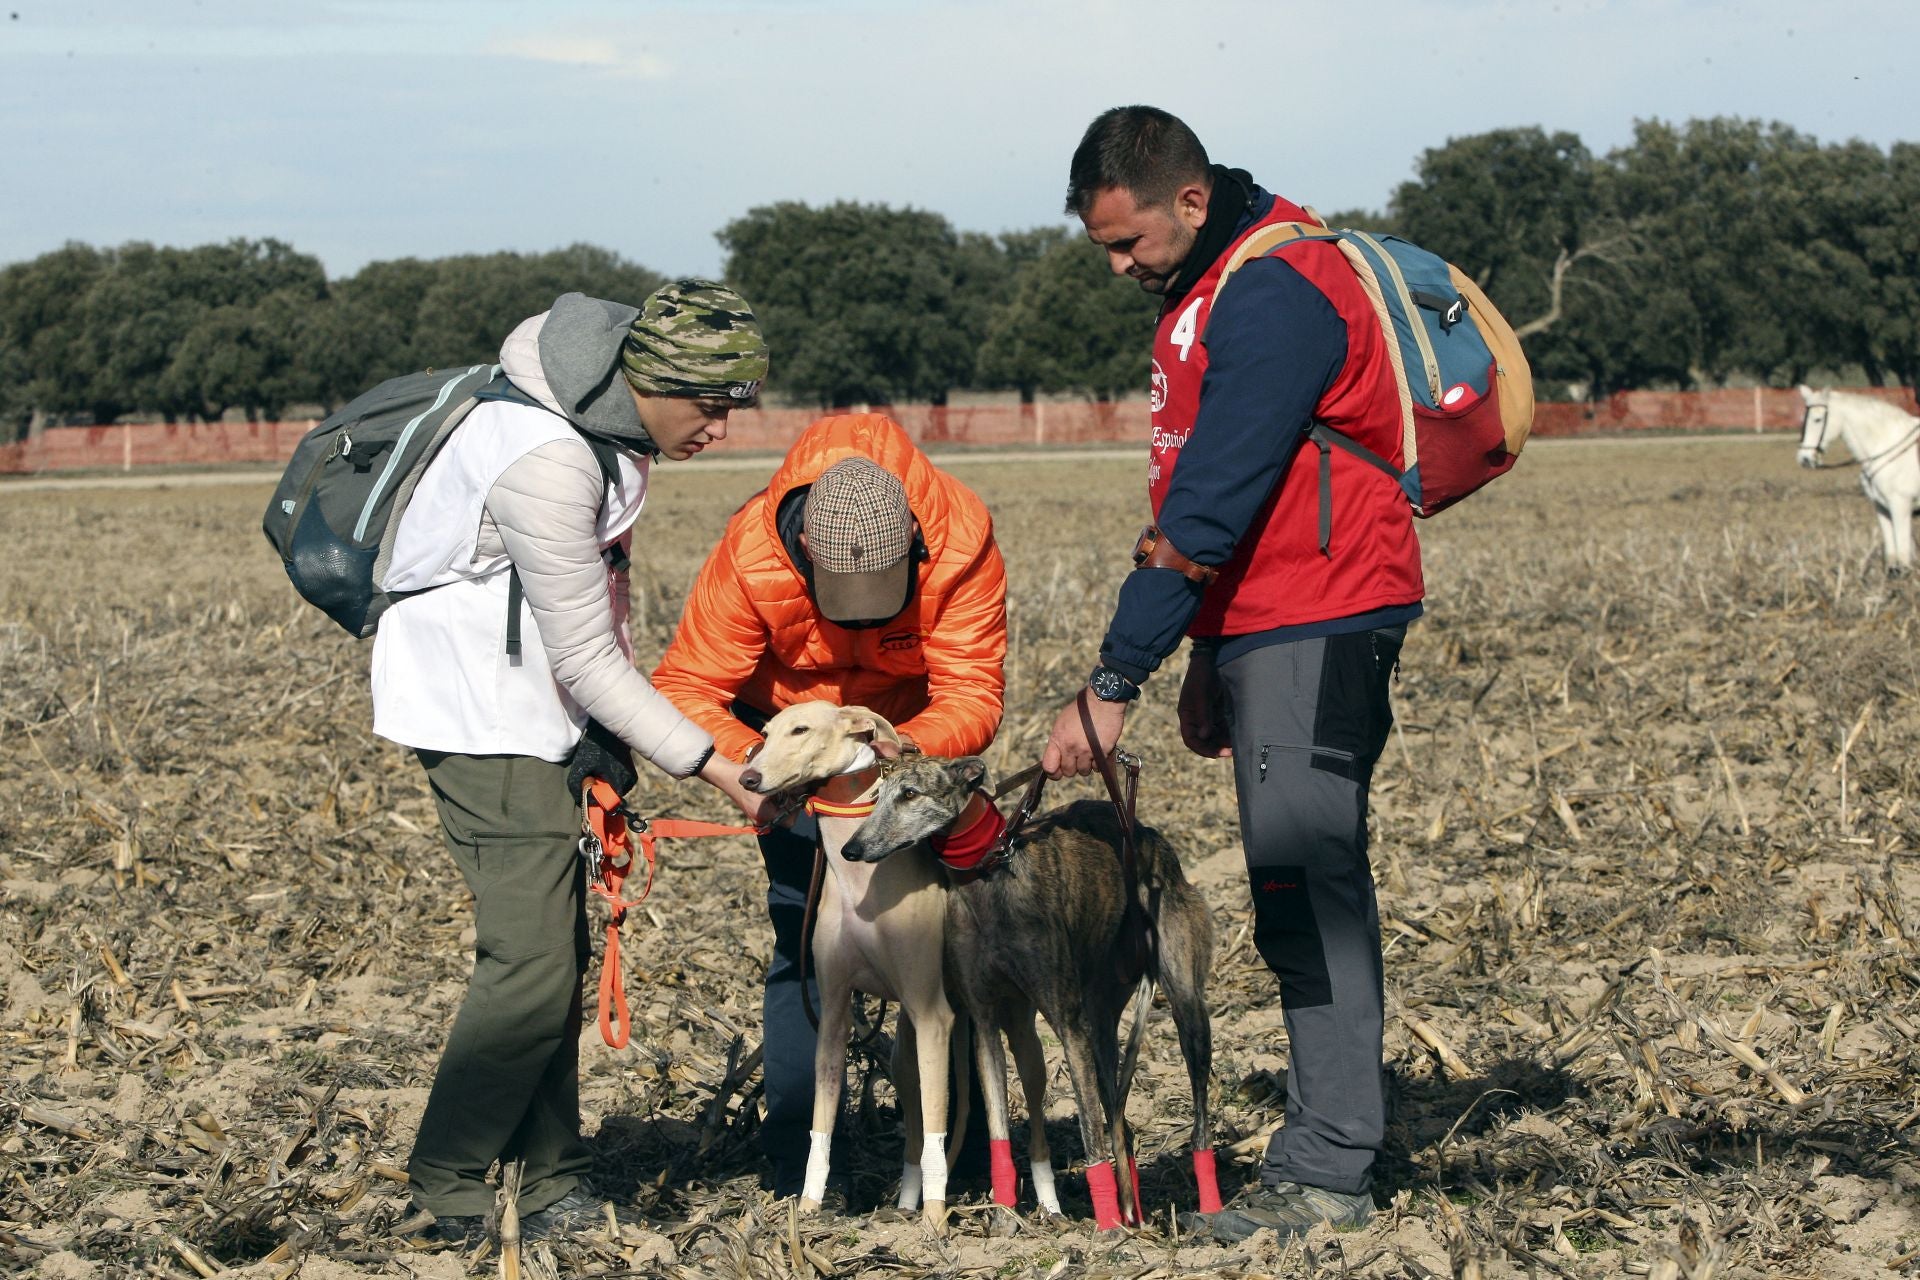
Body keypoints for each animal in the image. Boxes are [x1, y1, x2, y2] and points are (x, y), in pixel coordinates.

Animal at [1797, 385, 1920, 575]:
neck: (1885, 444)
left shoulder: (1901, 506)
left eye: (1817, 419)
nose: (1804, 458)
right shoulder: (1881, 507)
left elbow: (1903, 553)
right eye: (1804, 418)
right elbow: (1892, 553)